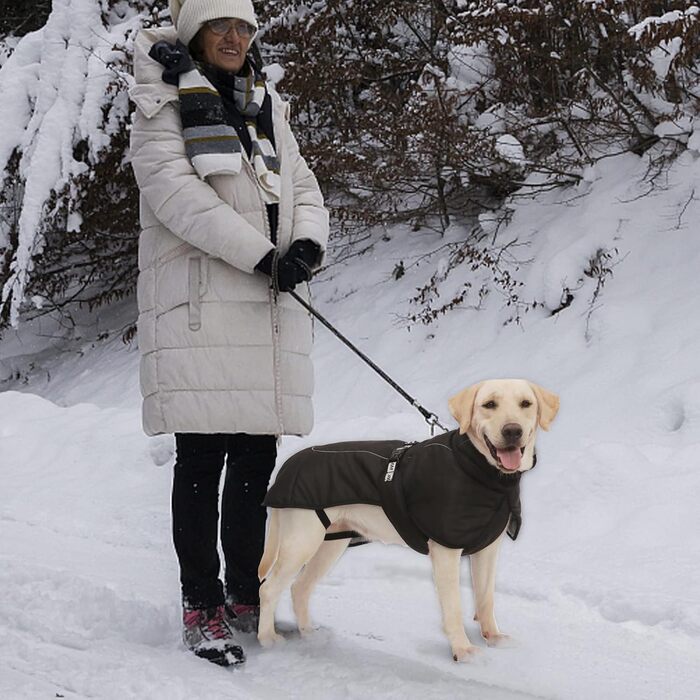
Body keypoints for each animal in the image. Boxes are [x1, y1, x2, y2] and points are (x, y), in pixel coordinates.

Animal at [258, 380, 556, 660]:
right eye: (489, 404)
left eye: (526, 403)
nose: (512, 431)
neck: (481, 470)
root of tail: (286, 468)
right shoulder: (445, 551)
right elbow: (454, 607)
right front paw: (463, 650)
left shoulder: (487, 549)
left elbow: (486, 598)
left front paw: (493, 637)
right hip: (301, 542)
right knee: (269, 588)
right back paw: (268, 640)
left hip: (330, 544)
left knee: (299, 587)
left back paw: (309, 634)